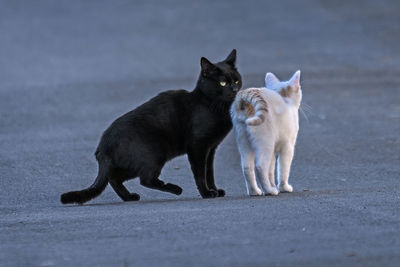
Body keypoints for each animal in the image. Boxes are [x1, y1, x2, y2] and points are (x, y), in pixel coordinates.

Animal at [59, 49, 241, 205]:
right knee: (145, 179)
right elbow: (200, 173)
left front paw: (215, 190)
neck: (212, 105)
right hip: (155, 152)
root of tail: (103, 146)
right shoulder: (198, 147)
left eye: (236, 80)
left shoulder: (211, 148)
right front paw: (206, 193)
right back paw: (175, 189)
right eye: (222, 83)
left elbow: (209, 173)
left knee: (115, 178)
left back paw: (129, 197)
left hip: (132, 163)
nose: (234, 89)